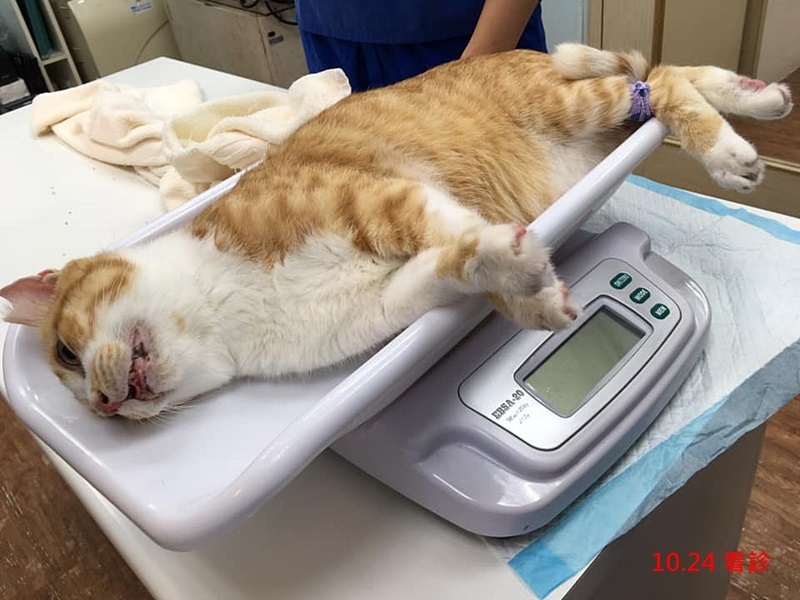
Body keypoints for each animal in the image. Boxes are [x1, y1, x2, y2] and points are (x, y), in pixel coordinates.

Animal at [0, 44, 792, 420]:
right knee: (669, 74)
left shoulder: (384, 200)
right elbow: (458, 265)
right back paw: (759, 97)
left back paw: (733, 150)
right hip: (601, 119)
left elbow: (461, 230)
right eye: (90, 406)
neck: (225, 307)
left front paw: (534, 283)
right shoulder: (385, 304)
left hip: (578, 103)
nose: (106, 405)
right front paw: (530, 288)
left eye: (66, 352)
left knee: (658, 81)